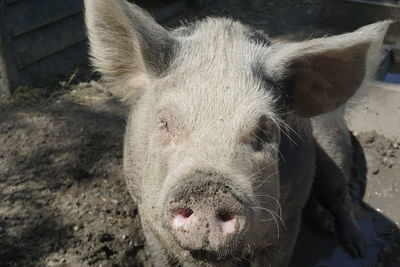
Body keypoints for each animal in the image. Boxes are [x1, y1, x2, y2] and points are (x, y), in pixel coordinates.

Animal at [83, 1, 388, 266]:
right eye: (164, 122)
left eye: (265, 129)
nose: (208, 189)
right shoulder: (147, 216)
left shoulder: (287, 223)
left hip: (334, 142)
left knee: (342, 194)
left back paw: (357, 247)